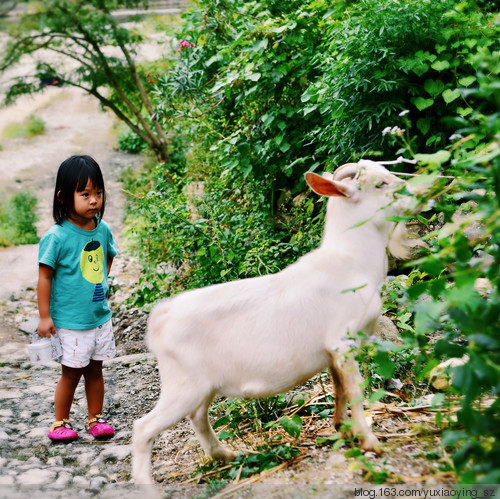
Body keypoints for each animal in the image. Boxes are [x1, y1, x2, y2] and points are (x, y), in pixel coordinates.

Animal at [133, 161, 410, 484]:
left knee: (198, 417)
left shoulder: (331, 353)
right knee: (144, 428)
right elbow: (354, 390)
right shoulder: (343, 342)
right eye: (380, 184)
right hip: (183, 385)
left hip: (202, 386)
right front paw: (370, 443)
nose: (417, 190)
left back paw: (226, 455)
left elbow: (339, 388)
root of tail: (160, 318)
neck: (349, 263)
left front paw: (343, 429)